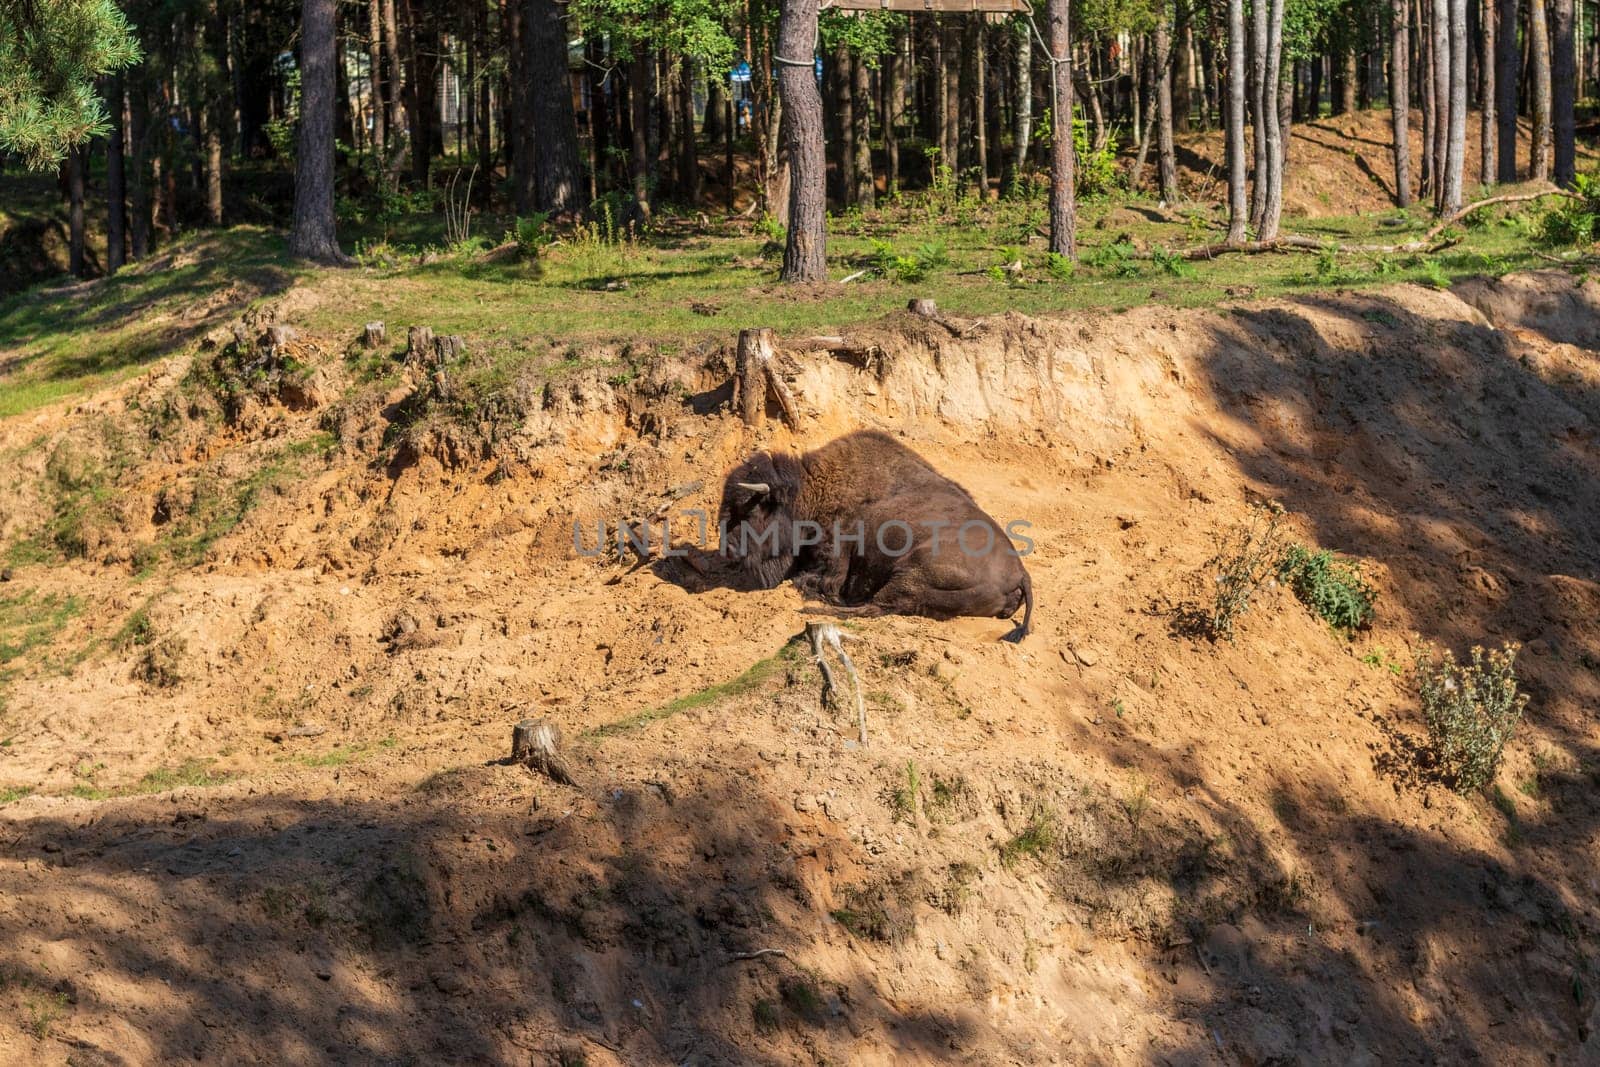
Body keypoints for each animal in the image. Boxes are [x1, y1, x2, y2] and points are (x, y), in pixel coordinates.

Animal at [716, 428, 1036, 639]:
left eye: (749, 510)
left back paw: (812, 610)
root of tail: (1020, 573)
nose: (726, 550)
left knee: (875, 606)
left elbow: (822, 581)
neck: (812, 491)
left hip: (910, 574)